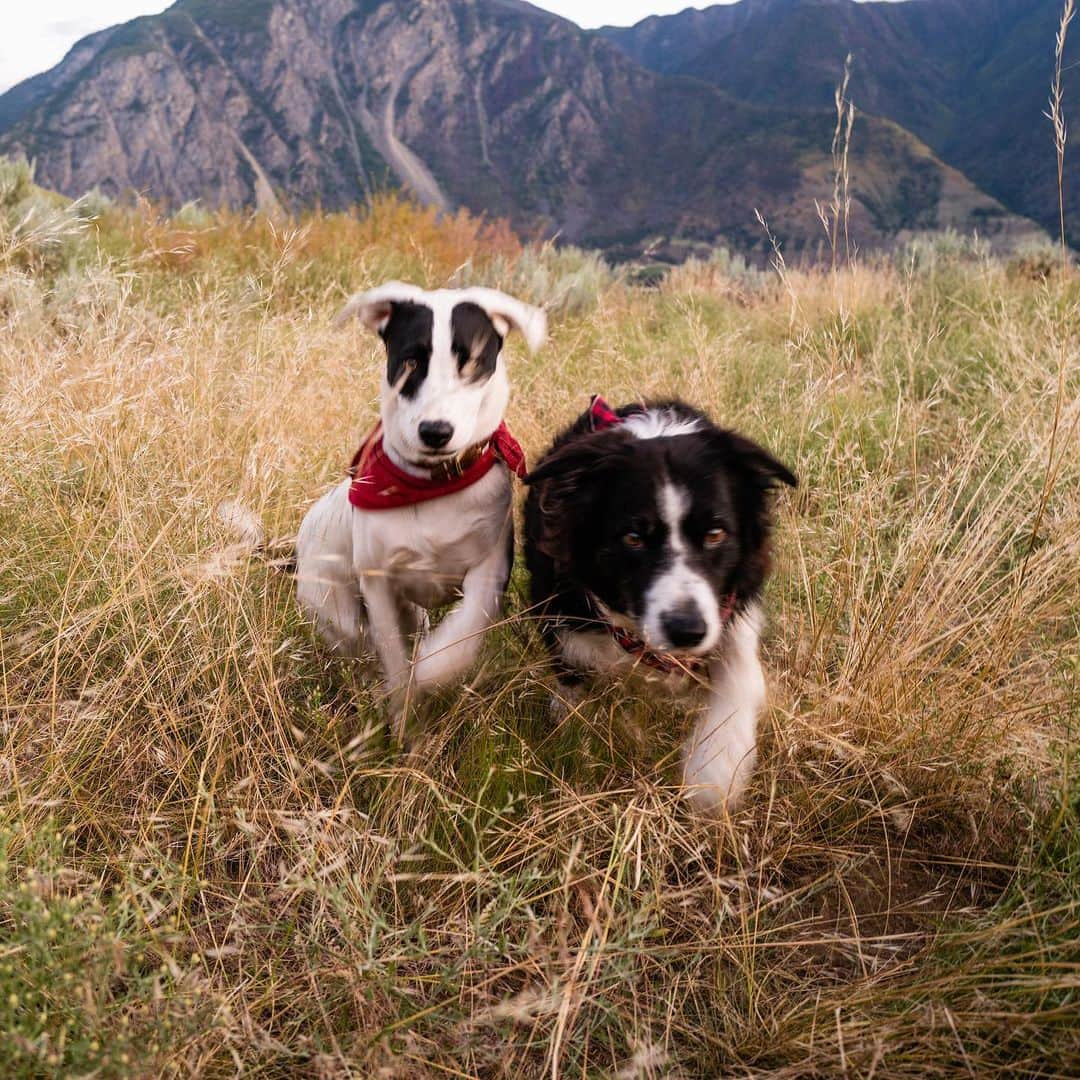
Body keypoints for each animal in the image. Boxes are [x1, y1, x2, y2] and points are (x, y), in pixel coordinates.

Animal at [295, 282, 544, 730]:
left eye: (472, 362)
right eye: (410, 360)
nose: (435, 431)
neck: (431, 484)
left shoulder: (490, 571)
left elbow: (463, 635)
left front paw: (429, 671)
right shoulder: (378, 586)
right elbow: (393, 659)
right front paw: (405, 714)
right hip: (332, 601)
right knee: (356, 643)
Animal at [522, 397, 794, 812]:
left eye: (716, 534)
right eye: (633, 538)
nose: (686, 631)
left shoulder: (730, 609)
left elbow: (740, 676)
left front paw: (715, 770)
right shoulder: (559, 607)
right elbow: (572, 676)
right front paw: (569, 728)